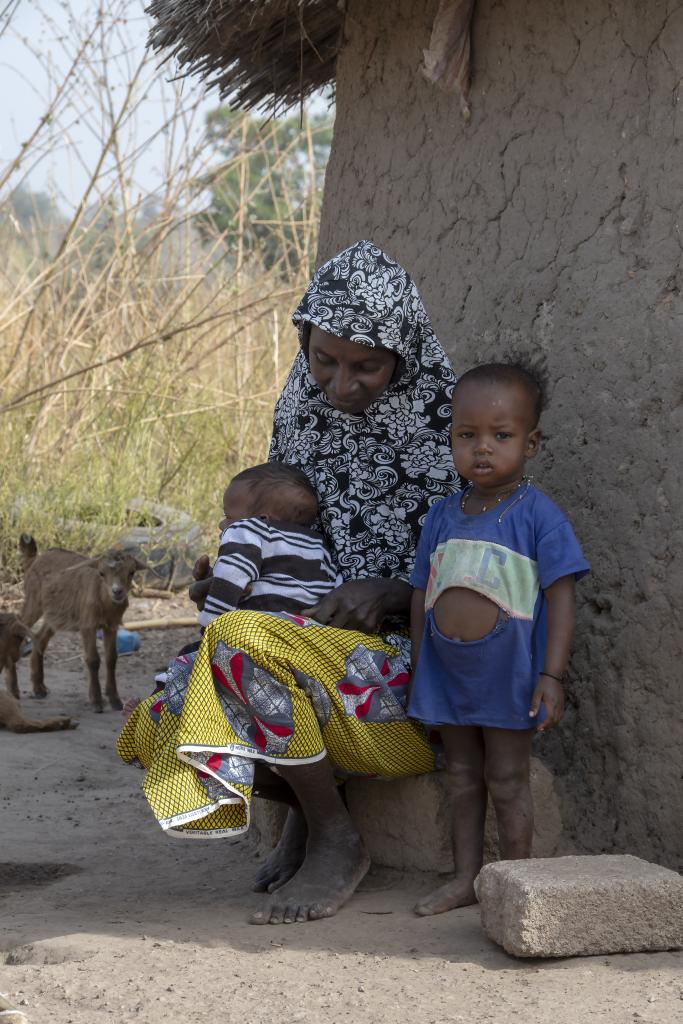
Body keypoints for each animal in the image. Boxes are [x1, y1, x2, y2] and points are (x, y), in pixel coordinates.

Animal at [19, 536, 144, 712]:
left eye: (131, 572)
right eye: (101, 573)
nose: (117, 591)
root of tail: (34, 559)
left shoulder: (111, 626)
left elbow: (111, 658)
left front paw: (115, 701)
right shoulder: (87, 624)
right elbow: (93, 659)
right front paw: (97, 701)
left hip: (55, 614)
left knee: (39, 638)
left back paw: (39, 689)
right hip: (33, 600)